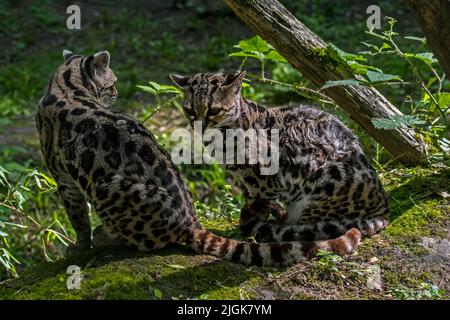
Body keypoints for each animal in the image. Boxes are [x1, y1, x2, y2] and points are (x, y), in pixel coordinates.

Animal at [171, 71, 388, 249]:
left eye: (213, 110)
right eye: (190, 111)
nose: (199, 126)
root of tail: (384, 209)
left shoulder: (262, 181)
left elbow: (255, 206)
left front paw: (251, 226)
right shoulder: (245, 181)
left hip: (325, 180)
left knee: (310, 227)